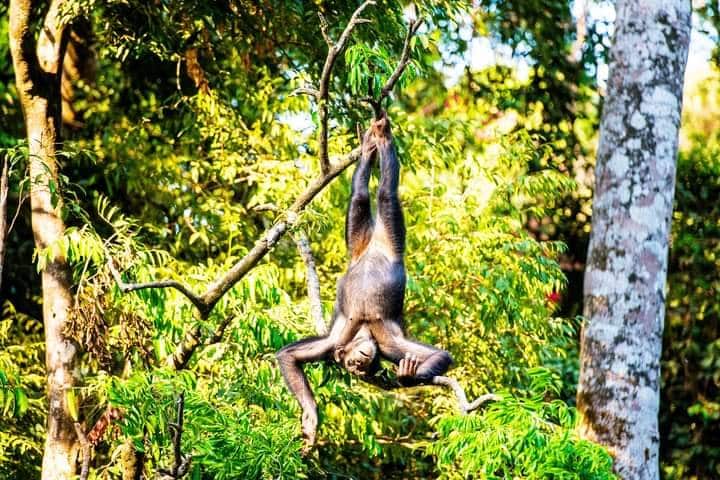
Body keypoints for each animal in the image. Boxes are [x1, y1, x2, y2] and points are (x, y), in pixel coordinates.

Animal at [276, 113, 453, 449]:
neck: (364, 329)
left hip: (391, 234)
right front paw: (311, 415)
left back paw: (382, 141)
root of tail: (374, 244)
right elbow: (289, 357)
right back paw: (370, 147)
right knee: (359, 196)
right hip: (357, 240)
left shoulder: (388, 344)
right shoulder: (333, 343)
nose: (358, 363)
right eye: (353, 367)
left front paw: (407, 376)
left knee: (387, 195)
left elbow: (440, 356)